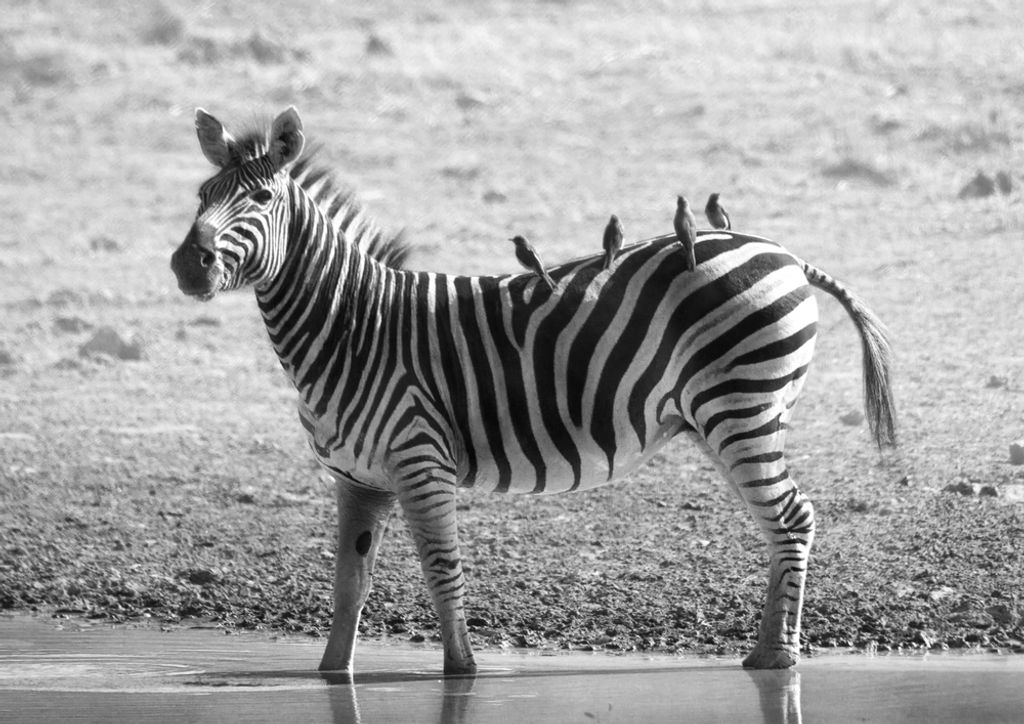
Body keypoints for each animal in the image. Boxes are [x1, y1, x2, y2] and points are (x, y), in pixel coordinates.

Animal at [170, 106, 896, 676]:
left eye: (262, 201)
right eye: (203, 193)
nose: (186, 264)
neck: (352, 325)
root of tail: (784, 253)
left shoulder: (420, 461)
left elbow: (442, 568)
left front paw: (462, 671)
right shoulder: (358, 479)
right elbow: (350, 584)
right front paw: (330, 674)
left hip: (742, 409)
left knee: (793, 517)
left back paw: (778, 657)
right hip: (728, 417)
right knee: (781, 522)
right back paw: (767, 654)